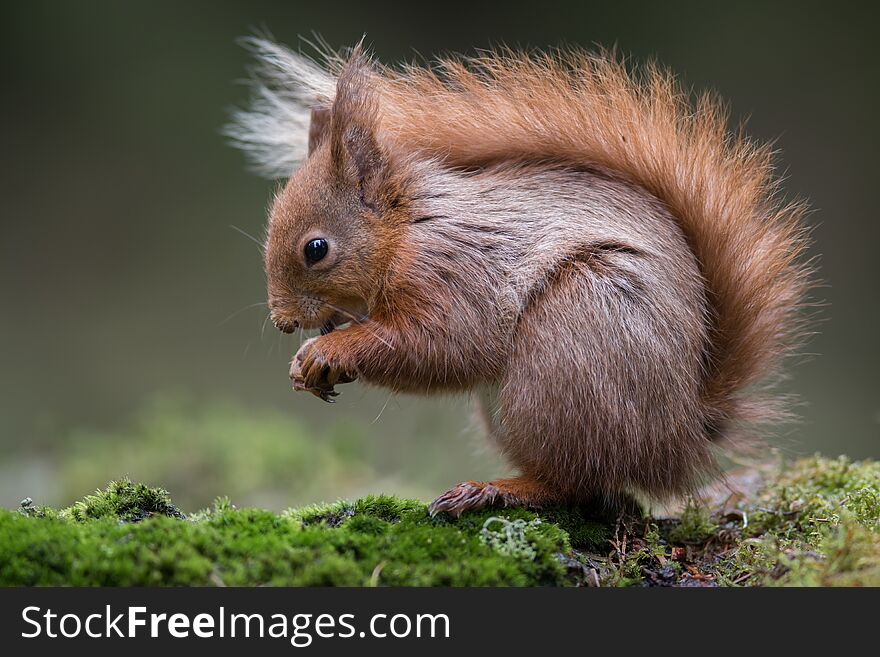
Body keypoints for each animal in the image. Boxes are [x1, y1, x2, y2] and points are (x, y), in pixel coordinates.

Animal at [227, 41, 812, 516]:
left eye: (316, 249)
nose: (282, 322)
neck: (406, 231)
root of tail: (683, 431)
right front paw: (309, 366)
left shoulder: (453, 272)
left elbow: (443, 344)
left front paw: (328, 351)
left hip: (564, 353)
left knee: (578, 482)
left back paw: (495, 490)